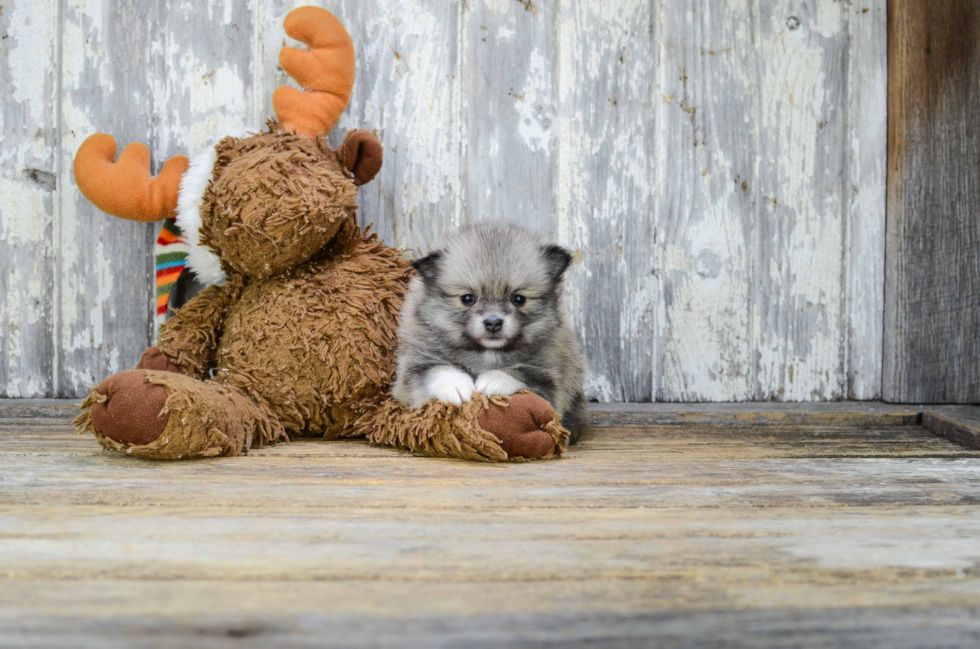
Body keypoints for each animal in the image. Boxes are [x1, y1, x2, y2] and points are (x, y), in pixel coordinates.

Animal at [392, 221, 588, 440]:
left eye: (518, 299)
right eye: (468, 298)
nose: (493, 322)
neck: (487, 352)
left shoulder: (549, 380)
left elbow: (521, 372)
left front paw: (495, 380)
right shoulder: (412, 368)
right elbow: (434, 370)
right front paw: (455, 385)